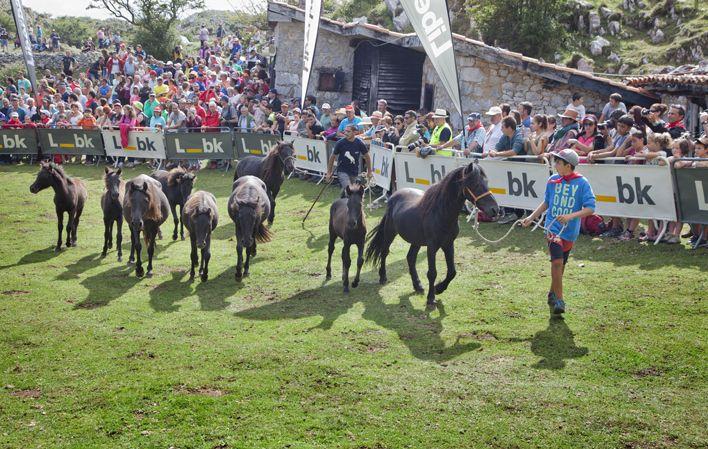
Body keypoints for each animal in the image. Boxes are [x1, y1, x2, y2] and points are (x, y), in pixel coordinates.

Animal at [368, 161, 500, 304]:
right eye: (475, 184)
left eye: (486, 182)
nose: (495, 210)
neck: (441, 213)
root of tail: (393, 196)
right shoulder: (432, 246)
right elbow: (432, 273)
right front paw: (431, 298)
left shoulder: (448, 244)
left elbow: (452, 271)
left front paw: (439, 289)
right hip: (390, 232)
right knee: (384, 252)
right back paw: (383, 277)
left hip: (416, 240)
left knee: (410, 258)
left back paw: (418, 285)